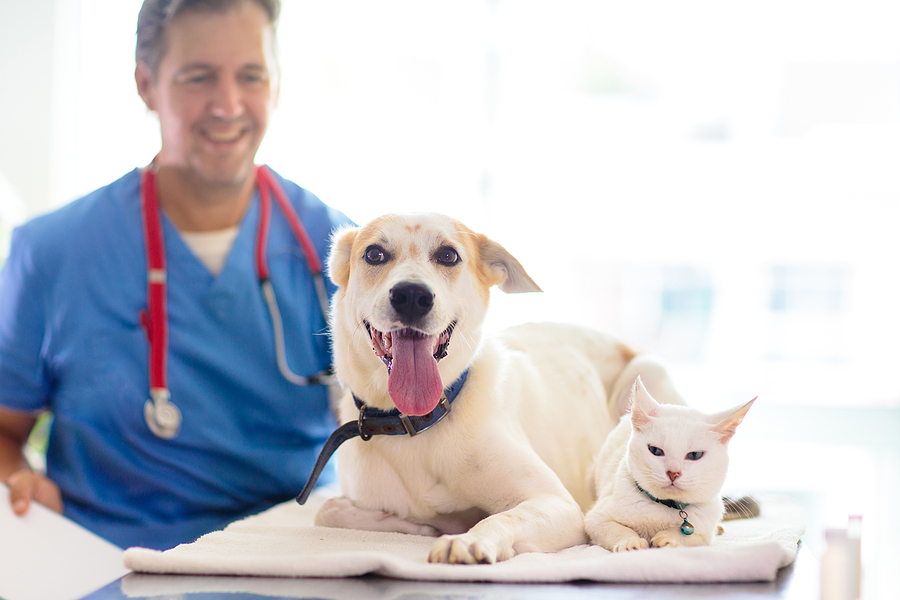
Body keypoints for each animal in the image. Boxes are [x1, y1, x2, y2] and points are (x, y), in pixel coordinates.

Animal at [312, 214, 684, 564]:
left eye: (448, 255)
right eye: (374, 254)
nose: (412, 296)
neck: (420, 421)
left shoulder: (558, 504)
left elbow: (499, 518)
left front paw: (467, 539)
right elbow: (328, 510)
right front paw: (426, 525)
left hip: (647, 375)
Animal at [584, 378, 752, 552]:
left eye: (694, 455)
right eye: (655, 450)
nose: (673, 472)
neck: (667, 508)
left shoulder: (705, 533)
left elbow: (690, 536)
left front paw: (668, 538)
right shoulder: (595, 518)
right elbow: (617, 529)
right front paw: (630, 542)